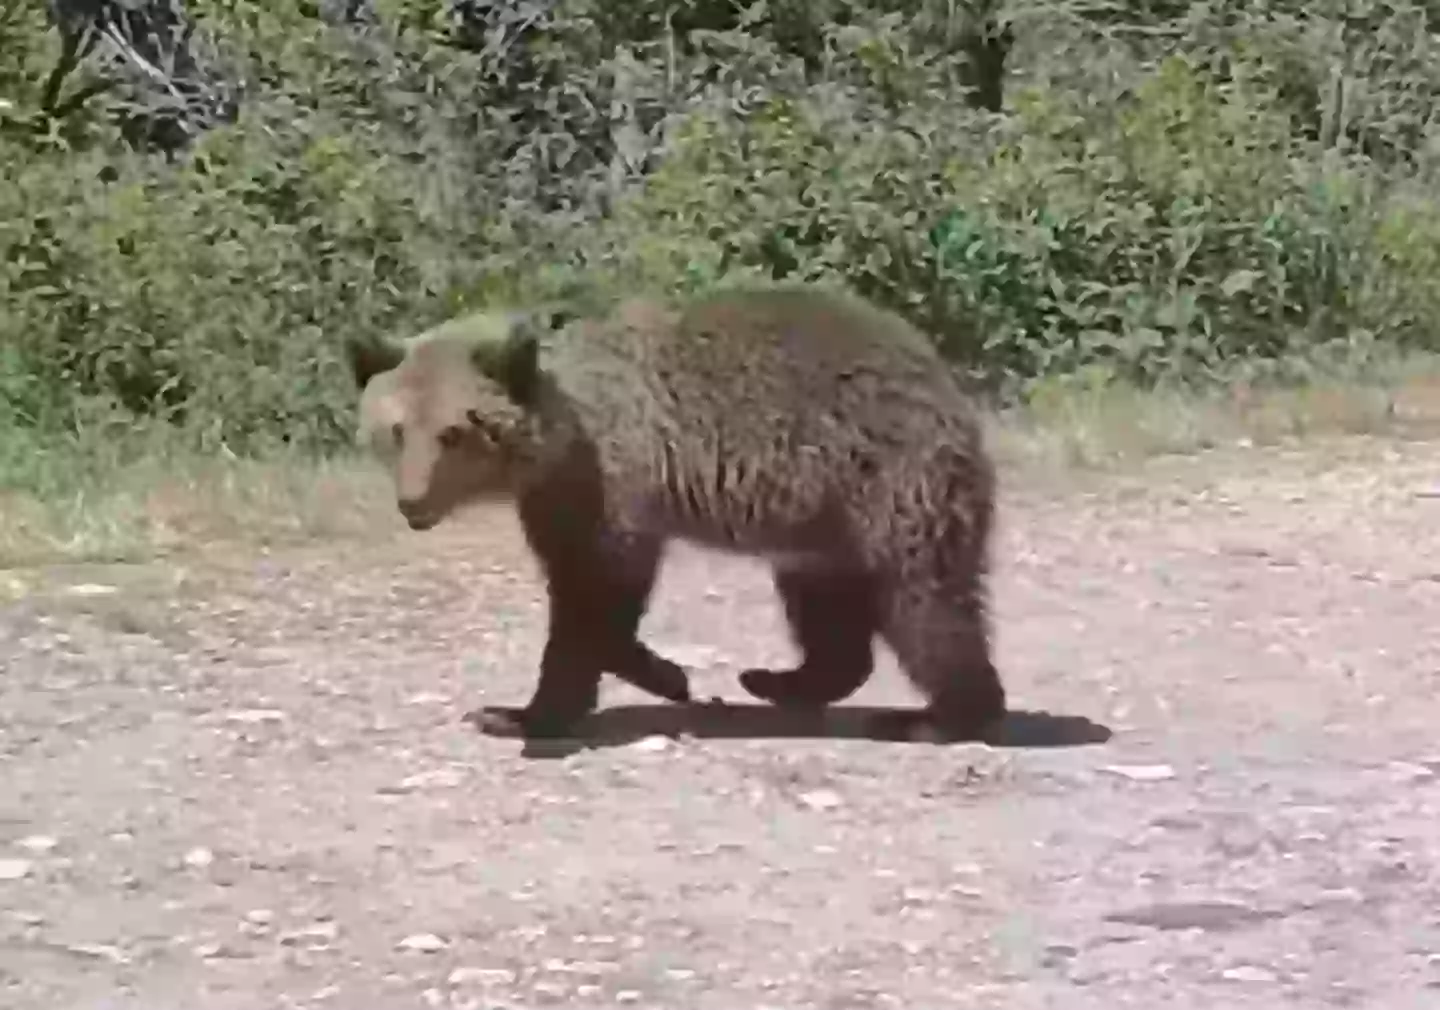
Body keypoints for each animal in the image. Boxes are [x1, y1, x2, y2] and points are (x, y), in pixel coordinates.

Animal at [344, 282, 1005, 743]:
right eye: (396, 430)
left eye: (455, 431)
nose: (412, 501)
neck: (560, 442)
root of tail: (941, 377)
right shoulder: (556, 501)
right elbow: (581, 589)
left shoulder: (608, 485)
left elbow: (595, 596)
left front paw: (528, 711)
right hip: (821, 524)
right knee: (826, 607)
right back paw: (778, 680)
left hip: (888, 481)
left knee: (925, 603)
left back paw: (937, 717)